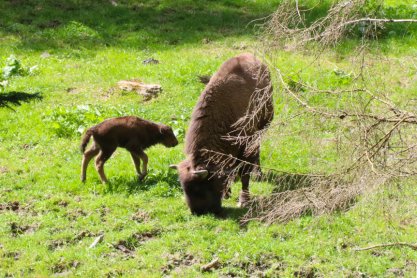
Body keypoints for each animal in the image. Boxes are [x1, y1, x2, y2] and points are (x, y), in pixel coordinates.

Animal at [169, 53, 272, 215]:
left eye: (200, 188)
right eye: (184, 189)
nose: (197, 212)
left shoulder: (246, 145)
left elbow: (245, 173)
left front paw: (243, 200)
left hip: (263, 127)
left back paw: (258, 174)